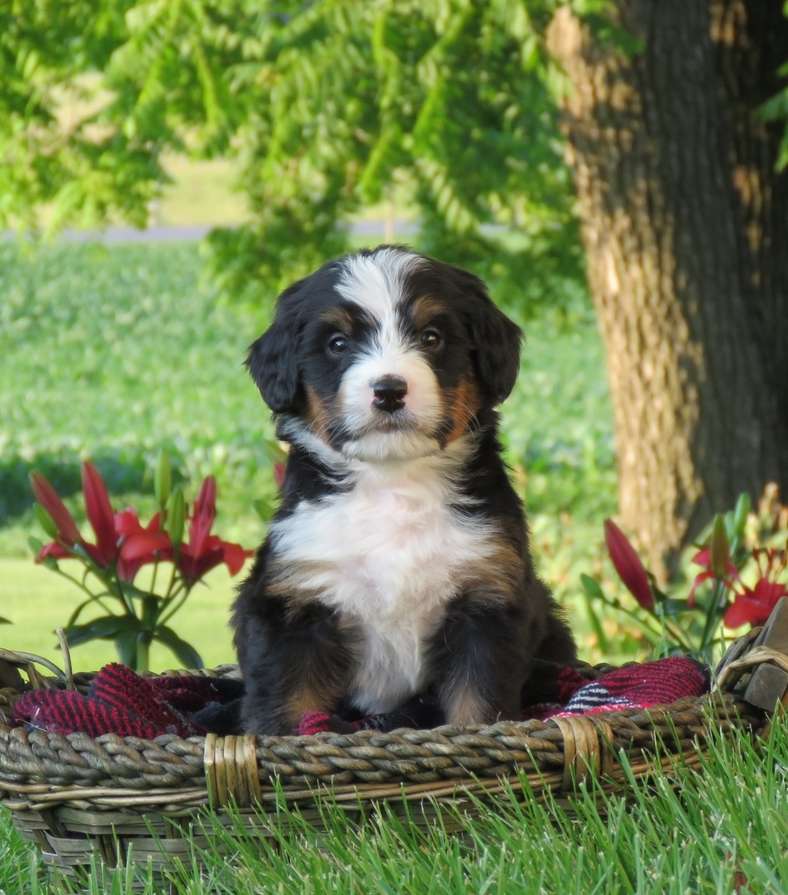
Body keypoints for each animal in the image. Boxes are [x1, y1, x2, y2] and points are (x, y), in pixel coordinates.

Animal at [231, 243, 576, 736]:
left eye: (431, 338)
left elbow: (477, 703)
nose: (389, 390)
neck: (393, 482)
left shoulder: (486, 599)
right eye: (338, 344)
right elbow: (287, 705)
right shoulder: (294, 601)